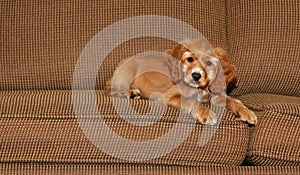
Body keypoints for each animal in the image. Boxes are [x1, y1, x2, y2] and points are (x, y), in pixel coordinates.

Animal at [105, 39, 258, 125]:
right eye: (190, 59)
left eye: (209, 63)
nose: (196, 75)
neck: (199, 89)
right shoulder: (169, 95)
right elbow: (191, 101)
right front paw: (207, 114)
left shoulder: (214, 94)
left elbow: (233, 100)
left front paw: (246, 112)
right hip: (126, 74)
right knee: (111, 89)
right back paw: (131, 93)